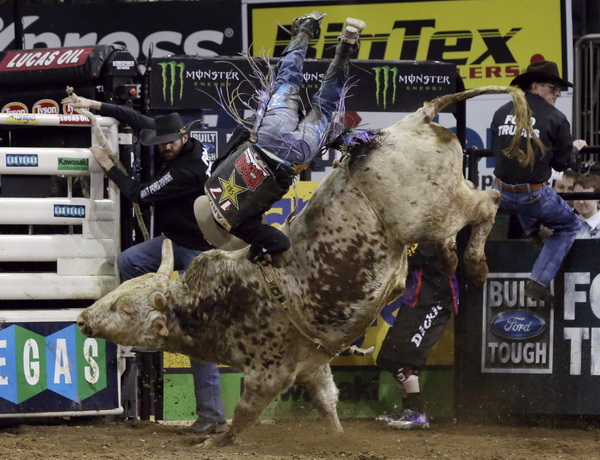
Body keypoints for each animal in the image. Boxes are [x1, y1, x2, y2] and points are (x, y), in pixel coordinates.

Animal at [76, 85, 540, 446]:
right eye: (118, 294)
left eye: (122, 308)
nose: (82, 318)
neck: (209, 305)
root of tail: (412, 121)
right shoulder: (313, 366)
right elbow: (327, 400)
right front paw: (336, 437)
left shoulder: (269, 372)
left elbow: (245, 413)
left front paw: (214, 440)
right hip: (439, 201)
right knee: (475, 210)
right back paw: (455, 258)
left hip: (425, 214)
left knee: (489, 201)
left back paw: (475, 266)